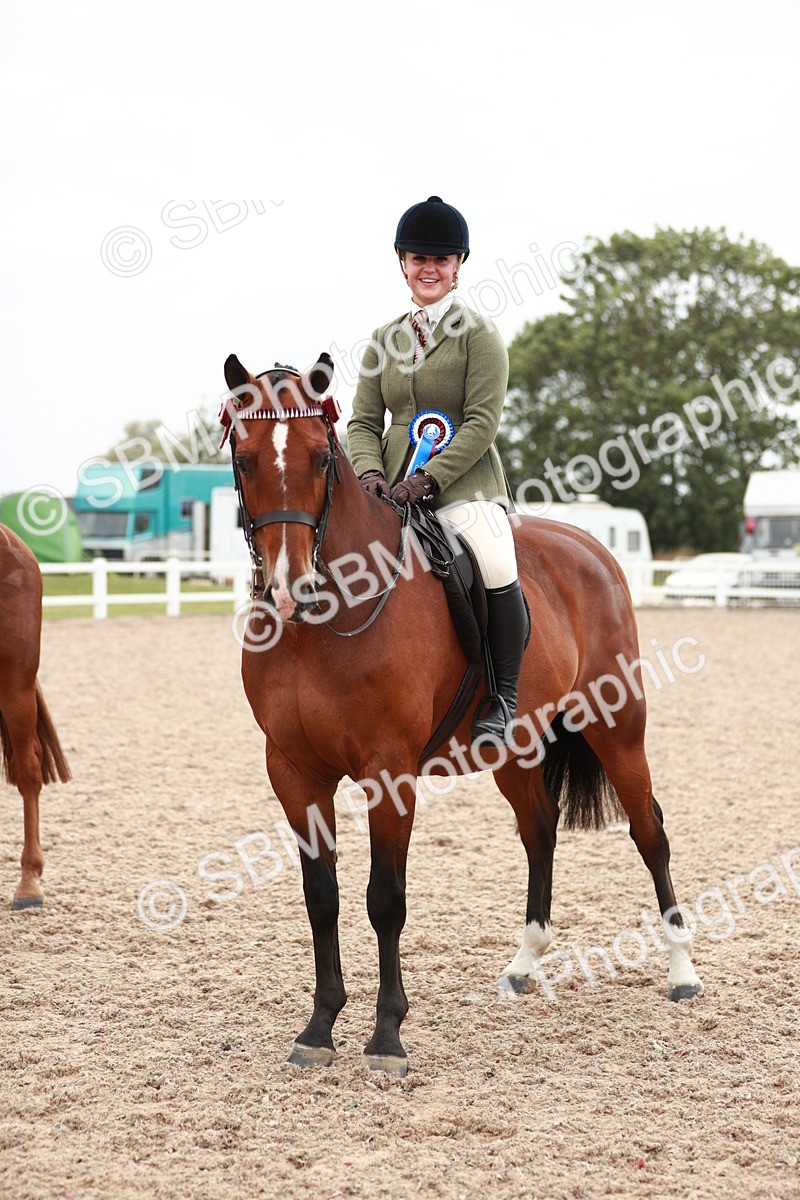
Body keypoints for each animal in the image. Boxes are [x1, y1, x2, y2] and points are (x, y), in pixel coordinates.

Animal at [221, 353, 703, 1076]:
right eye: (245, 460)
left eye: (320, 458)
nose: (289, 588)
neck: (325, 622)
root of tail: (588, 547)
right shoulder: (294, 771)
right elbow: (321, 896)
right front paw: (319, 1028)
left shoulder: (389, 772)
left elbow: (384, 900)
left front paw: (387, 1037)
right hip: (515, 748)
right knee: (540, 831)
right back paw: (524, 965)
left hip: (618, 729)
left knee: (650, 834)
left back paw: (682, 972)